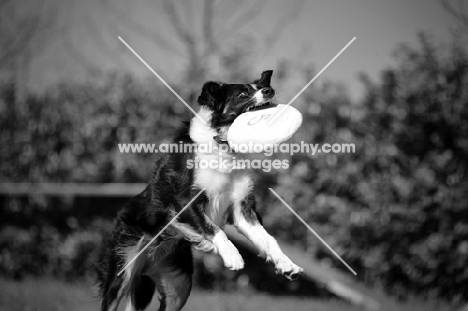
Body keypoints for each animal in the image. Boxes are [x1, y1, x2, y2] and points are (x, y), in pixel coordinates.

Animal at [97, 70, 306, 311]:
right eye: (242, 94)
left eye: (260, 87)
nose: (269, 90)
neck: (223, 146)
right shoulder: (186, 202)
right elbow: (214, 229)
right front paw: (233, 256)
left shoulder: (242, 207)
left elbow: (266, 238)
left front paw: (287, 264)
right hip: (123, 266)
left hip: (178, 285)